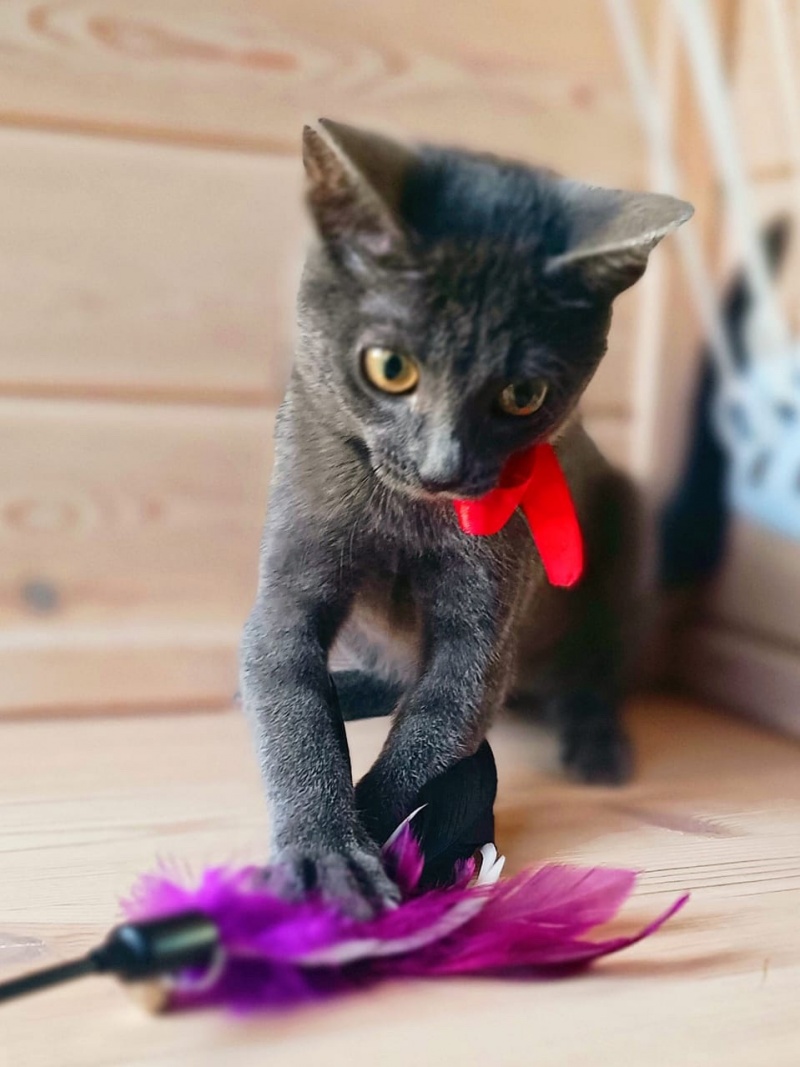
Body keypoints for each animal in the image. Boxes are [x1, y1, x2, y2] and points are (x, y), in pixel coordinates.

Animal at [240, 119, 693, 916]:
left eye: (523, 394)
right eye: (390, 367)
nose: (443, 468)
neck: (405, 512)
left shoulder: (483, 627)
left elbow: (436, 722)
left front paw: (386, 851)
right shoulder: (291, 576)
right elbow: (293, 714)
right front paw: (327, 853)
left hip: (627, 528)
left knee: (592, 673)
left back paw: (596, 743)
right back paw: (346, 689)